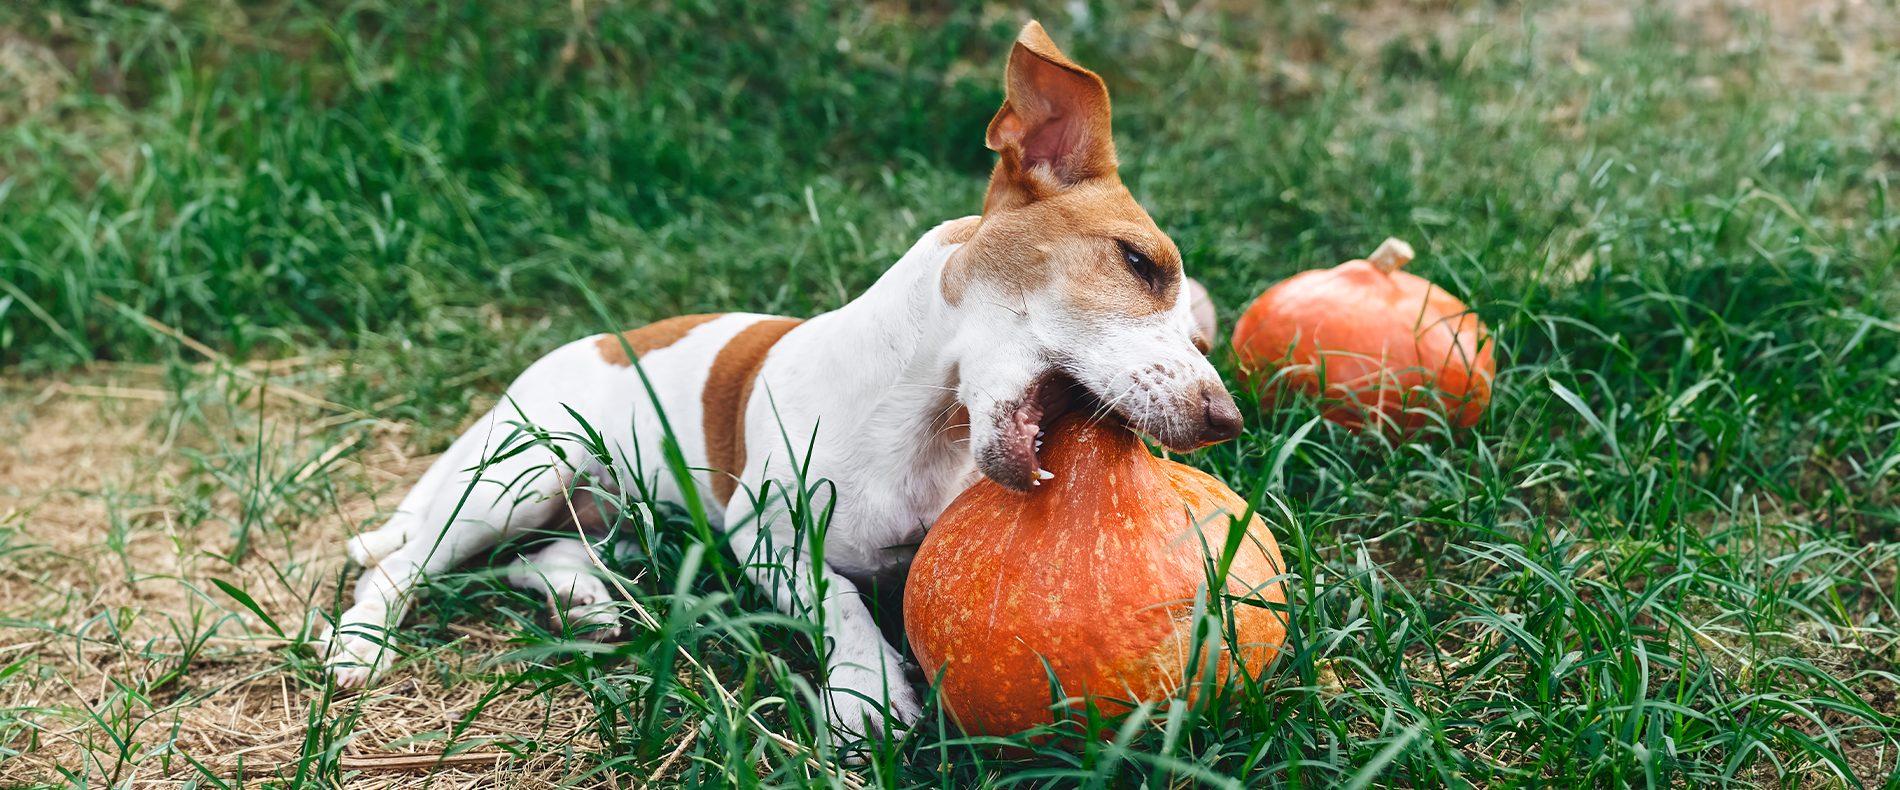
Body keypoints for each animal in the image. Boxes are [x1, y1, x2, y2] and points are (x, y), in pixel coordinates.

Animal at [323, 21, 1246, 744]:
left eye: (1199, 327)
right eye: (1139, 263)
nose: (1227, 419)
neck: (922, 426)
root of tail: (594, 344)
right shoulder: (764, 529)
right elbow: (835, 595)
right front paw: (868, 690)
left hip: (623, 517)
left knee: (542, 559)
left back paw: (587, 604)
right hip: (521, 474)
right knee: (404, 563)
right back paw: (360, 644)